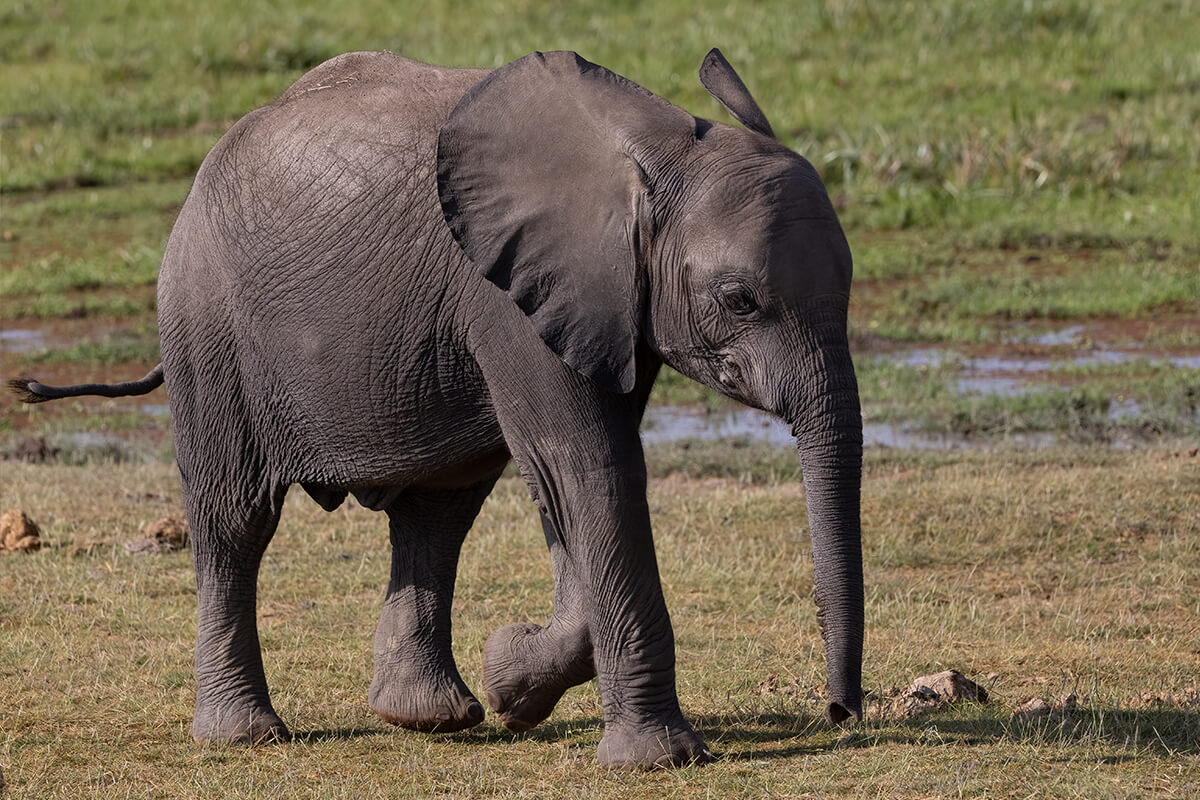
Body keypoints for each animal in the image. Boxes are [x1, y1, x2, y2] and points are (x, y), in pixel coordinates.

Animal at [9, 48, 864, 767]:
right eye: (739, 299)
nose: (839, 714)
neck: (658, 146)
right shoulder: (509, 298)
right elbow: (590, 469)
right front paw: (656, 759)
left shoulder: (604, 301)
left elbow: (571, 486)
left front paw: (511, 682)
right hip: (205, 323)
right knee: (234, 518)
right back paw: (247, 737)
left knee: (437, 510)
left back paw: (429, 718)